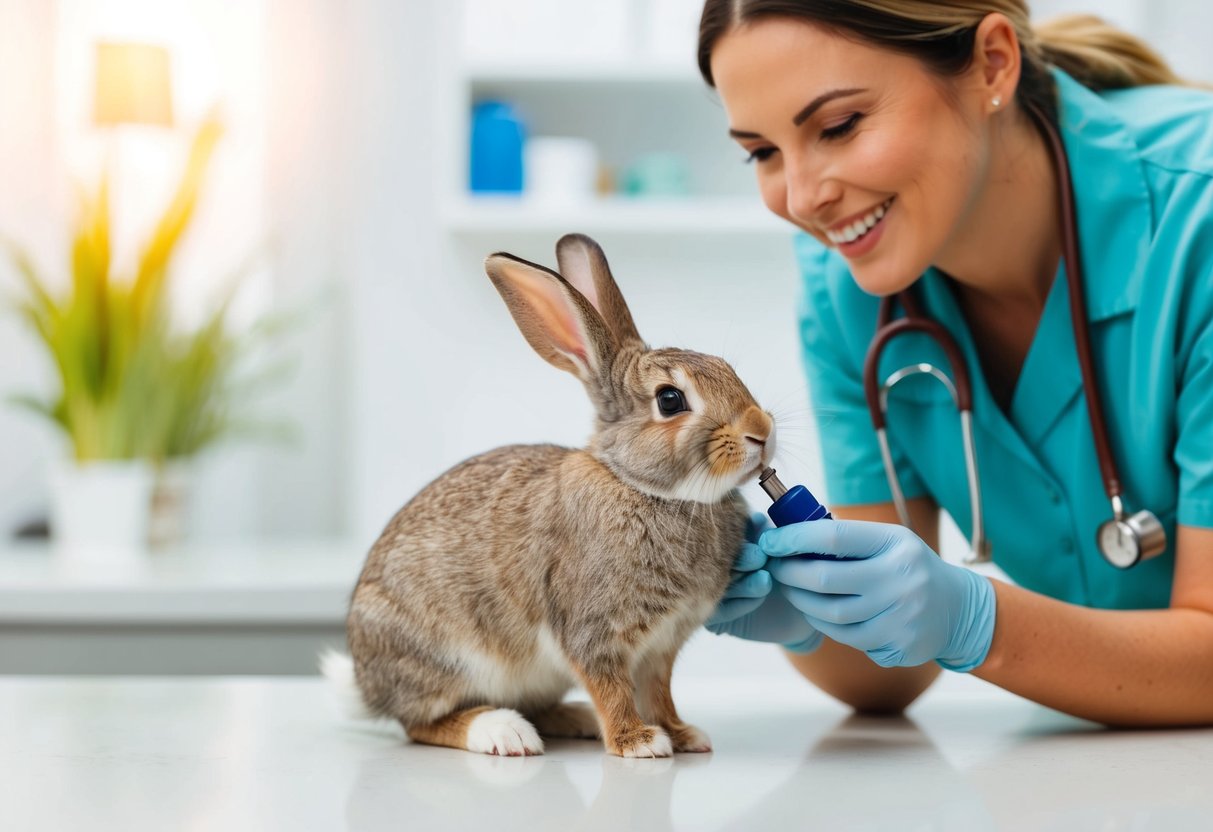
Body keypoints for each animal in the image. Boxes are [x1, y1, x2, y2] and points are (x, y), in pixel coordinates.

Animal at [327, 231, 771, 761]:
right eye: (670, 400)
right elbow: (612, 688)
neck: (642, 487)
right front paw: (638, 742)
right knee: (421, 723)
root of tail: (366, 684)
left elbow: (658, 692)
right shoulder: (593, 632)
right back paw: (503, 732)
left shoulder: (662, 646)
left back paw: (573, 719)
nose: (762, 431)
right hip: (445, 660)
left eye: (728, 370)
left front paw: (683, 735)